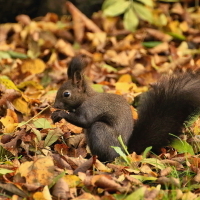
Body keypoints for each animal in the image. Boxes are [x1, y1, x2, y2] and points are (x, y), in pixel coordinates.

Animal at [51, 55, 200, 161]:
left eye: (66, 94)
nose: (55, 105)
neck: (86, 98)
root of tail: (126, 152)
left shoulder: (92, 107)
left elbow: (84, 120)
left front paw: (59, 114)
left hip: (101, 131)